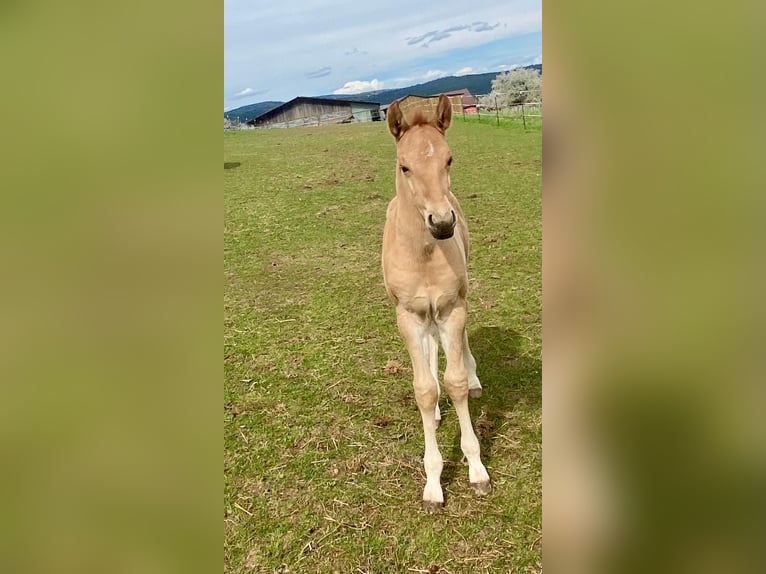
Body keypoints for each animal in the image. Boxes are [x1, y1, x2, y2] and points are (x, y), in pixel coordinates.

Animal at [381, 94, 490, 511]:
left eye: (449, 159)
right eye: (404, 166)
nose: (443, 223)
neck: (425, 254)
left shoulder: (451, 307)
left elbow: (454, 380)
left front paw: (477, 469)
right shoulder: (408, 315)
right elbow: (425, 390)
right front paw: (433, 484)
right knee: (429, 353)